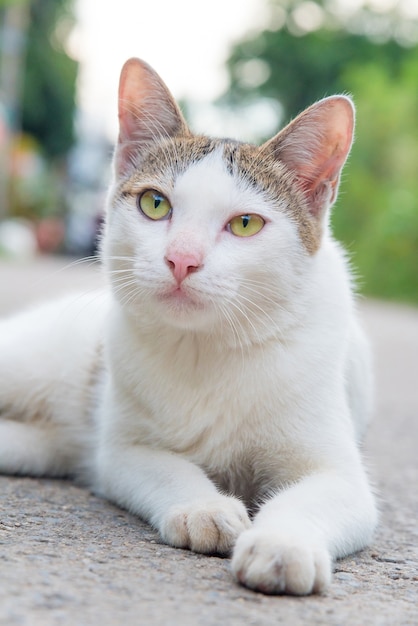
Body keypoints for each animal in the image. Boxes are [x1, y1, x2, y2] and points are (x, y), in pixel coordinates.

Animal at [0, 58, 378, 596]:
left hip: (43, 445)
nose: (182, 259)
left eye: (245, 224)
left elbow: (313, 497)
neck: (206, 347)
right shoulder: (123, 451)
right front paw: (205, 507)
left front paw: (282, 544)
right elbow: (168, 467)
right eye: (155, 204)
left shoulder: (340, 474)